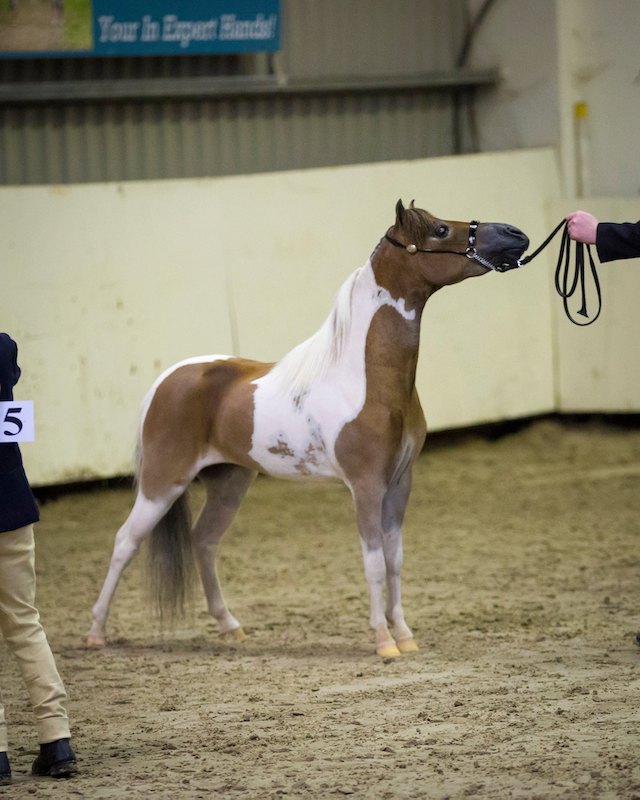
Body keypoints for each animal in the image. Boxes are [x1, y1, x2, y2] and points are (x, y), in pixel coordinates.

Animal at [86, 199, 528, 658]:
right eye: (441, 230)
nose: (515, 234)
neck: (366, 380)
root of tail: (169, 379)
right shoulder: (366, 486)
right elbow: (373, 563)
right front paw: (384, 641)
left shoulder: (399, 483)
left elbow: (395, 561)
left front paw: (405, 636)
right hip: (163, 483)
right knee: (125, 543)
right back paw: (96, 633)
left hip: (229, 481)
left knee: (203, 541)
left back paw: (230, 627)